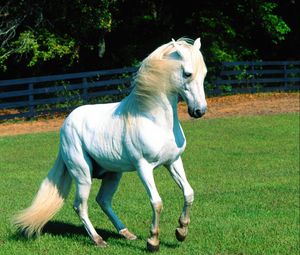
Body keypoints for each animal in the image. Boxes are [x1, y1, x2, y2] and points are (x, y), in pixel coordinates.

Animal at [13, 37, 206, 251]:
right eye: (187, 73)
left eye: (204, 73)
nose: (199, 111)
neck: (154, 119)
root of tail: (66, 123)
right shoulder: (144, 167)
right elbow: (156, 202)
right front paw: (153, 241)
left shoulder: (173, 162)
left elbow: (188, 193)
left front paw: (181, 232)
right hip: (83, 175)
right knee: (80, 206)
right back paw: (98, 240)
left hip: (113, 174)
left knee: (103, 200)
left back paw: (127, 234)